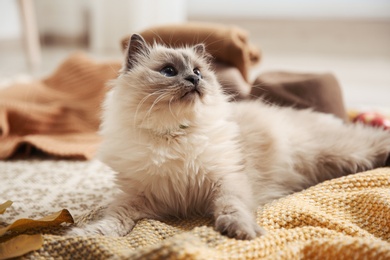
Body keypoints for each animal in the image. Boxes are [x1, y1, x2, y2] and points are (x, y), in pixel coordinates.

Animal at [69, 34, 390, 240]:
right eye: (169, 71)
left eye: (198, 72)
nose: (194, 80)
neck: (176, 135)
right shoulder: (141, 197)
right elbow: (114, 221)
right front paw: (87, 236)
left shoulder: (226, 180)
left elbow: (231, 208)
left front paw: (243, 233)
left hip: (345, 153)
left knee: (374, 138)